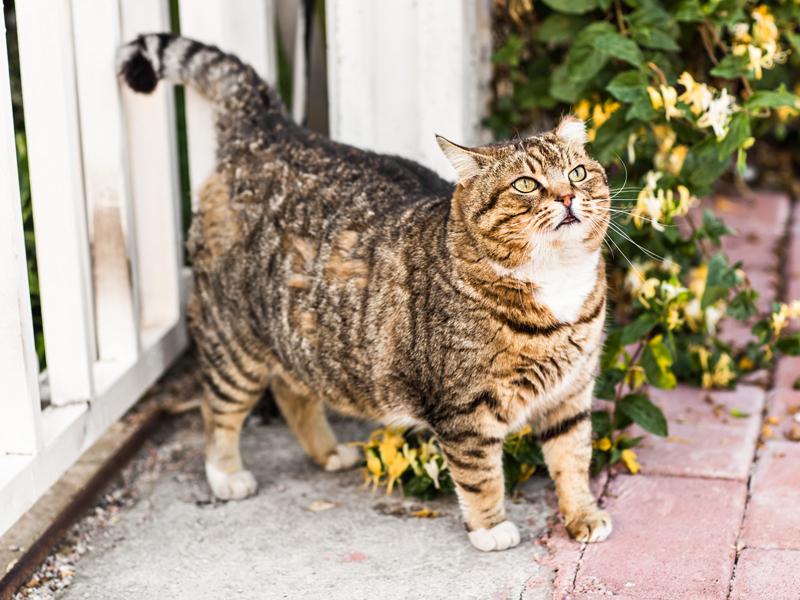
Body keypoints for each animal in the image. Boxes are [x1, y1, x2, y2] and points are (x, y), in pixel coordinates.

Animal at [117, 33, 612, 552]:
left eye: (578, 174)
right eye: (526, 185)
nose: (567, 197)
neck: (556, 281)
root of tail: (271, 133)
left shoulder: (573, 392)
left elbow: (572, 458)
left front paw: (582, 515)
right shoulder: (465, 411)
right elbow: (480, 475)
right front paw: (490, 528)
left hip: (302, 333)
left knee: (292, 389)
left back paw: (328, 452)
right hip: (233, 339)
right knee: (218, 408)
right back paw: (226, 475)